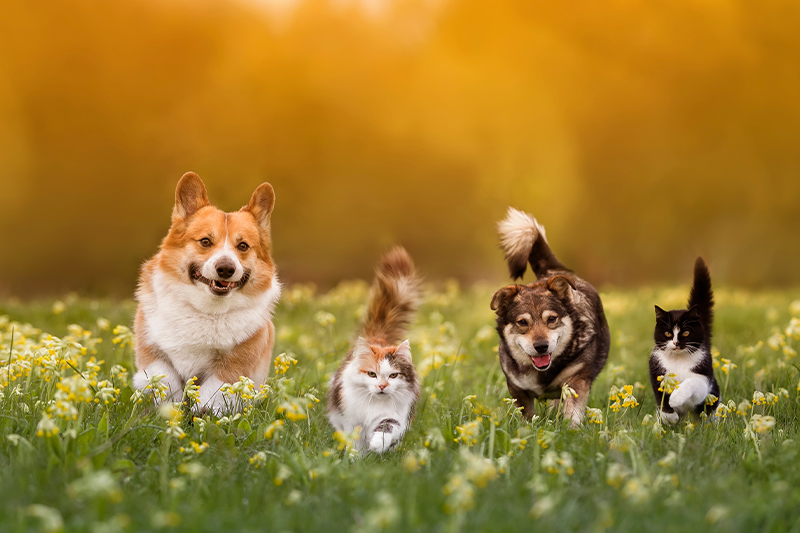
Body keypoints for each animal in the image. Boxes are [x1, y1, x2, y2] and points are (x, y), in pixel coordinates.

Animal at [132, 172, 282, 414]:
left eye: (243, 246)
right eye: (205, 241)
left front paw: (199, 414)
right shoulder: (151, 349)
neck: (206, 309)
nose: (226, 269)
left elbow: (213, 392)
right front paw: (169, 410)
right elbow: (165, 379)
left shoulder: (236, 363)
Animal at [326, 248, 422, 454]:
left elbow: (386, 428)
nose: (382, 386)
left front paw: (378, 446)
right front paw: (356, 457)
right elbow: (355, 442)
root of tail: (378, 338)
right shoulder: (352, 420)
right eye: (372, 374)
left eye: (393, 375)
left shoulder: (394, 416)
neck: (374, 405)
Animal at [490, 207, 608, 424]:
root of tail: (552, 270)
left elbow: (572, 411)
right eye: (522, 322)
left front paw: (571, 428)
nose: (541, 346)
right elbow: (526, 415)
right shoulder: (517, 388)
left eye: (551, 319)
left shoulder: (576, 379)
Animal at [648, 256, 720, 422]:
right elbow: (660, 395)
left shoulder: (704, 379)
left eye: (686, 333)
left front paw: (676, 398)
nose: (676, 343)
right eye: (668, 333)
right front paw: (669, 417)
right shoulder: (656, 371)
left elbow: (692, 383)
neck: (678, 360)